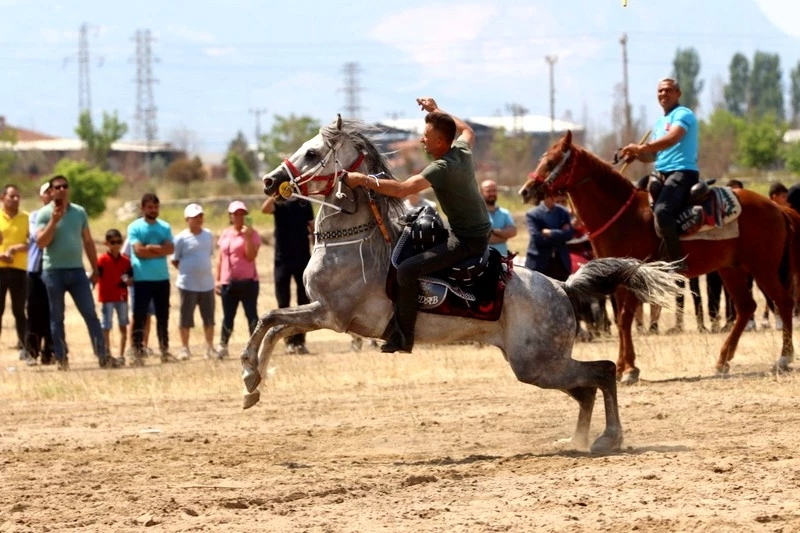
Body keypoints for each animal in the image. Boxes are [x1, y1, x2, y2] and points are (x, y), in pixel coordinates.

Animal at [520, 132, 792, 382]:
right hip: (731, 268)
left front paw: (629, 369)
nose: (526, 191)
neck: (623, 215)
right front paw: (623, 366)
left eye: (552, 161)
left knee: (783, 302)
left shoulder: (632, 275)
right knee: (747, 307)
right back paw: (723, 360)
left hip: (762, 267)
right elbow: (622, 320)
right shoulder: (615, 279)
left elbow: (625, 318)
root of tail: (776, 207)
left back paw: (783, 359)